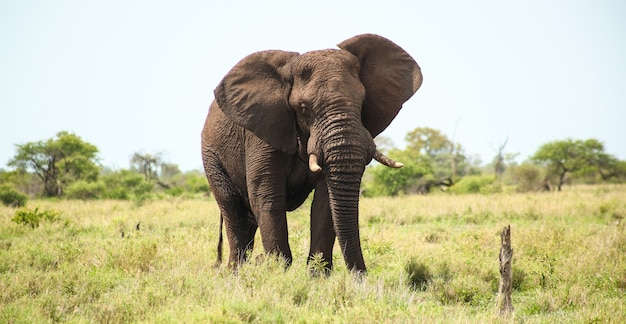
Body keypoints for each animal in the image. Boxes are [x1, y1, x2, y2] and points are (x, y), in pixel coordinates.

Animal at [202, 33, 422, 274]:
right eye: (304, 108)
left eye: (362, 102)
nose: (362, 278)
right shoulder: (262, 132)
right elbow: (267, 196)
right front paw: (280, 274)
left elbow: (325, 204)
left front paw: (316, 277)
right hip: (212, 156)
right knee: (234, 212)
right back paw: (235, 274)